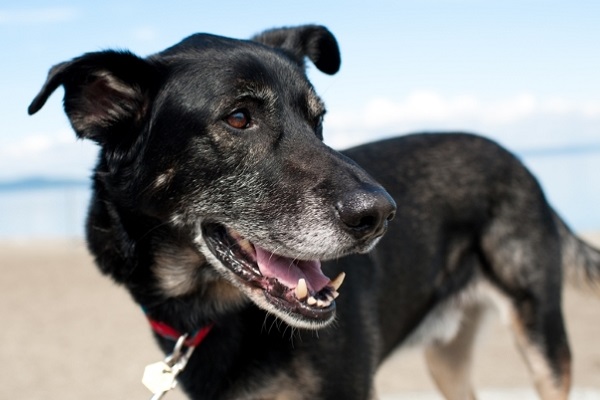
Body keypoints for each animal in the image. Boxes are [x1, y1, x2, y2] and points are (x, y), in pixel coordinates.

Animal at [30, 25, 600, 400]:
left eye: (318, 120)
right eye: (239, 118)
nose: (381, 214)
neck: (208, 313)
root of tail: (516, 160)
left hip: (543, 342)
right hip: (448, 360)